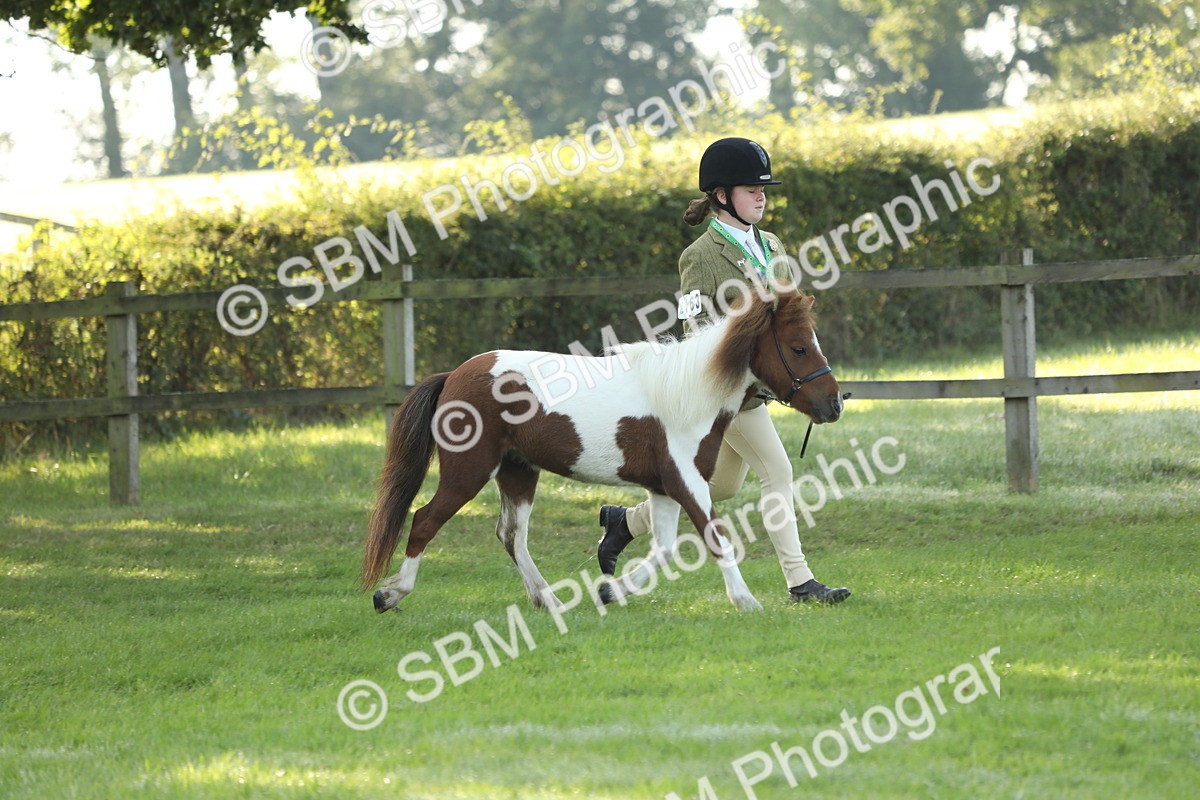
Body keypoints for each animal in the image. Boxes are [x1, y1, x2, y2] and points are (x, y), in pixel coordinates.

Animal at [361, 286, 844, 614]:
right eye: (799, 348)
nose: (835, 404)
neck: (688, 393)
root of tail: (453, 377)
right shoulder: (686, 482)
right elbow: (717, 538)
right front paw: (745, 601)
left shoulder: (663, 489)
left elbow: (664, 550)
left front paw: (611, 589)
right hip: (469, 471)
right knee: (425, 521)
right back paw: (389, 594)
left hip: (518, 471)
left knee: (511, 535)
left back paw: (548, 599)